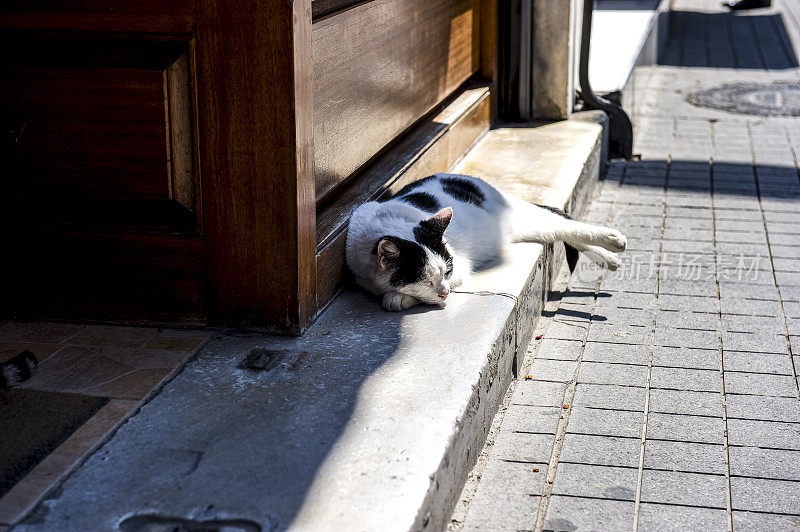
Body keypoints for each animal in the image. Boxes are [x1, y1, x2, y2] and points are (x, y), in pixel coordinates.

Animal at [346, 174, 628, 312]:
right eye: (424, 280)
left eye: (446, 272)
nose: (444, 292)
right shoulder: (359, 273)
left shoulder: (460, 266)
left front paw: (398, 298)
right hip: (524, 229)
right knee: (560, 231)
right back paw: (609, 260)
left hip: (525, 218)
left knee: (567, 225)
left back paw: (615, 241)